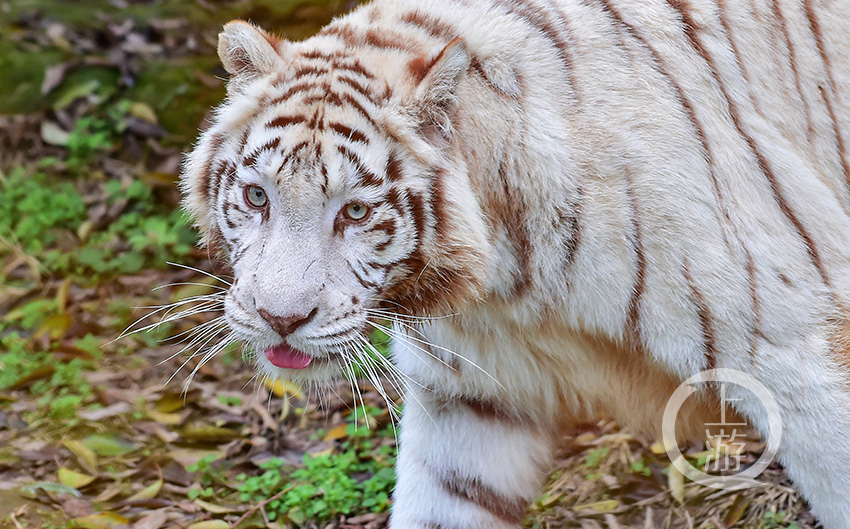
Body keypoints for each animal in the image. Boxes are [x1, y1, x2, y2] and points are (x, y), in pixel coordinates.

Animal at [182, 1, 848, 524]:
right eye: (258, 197)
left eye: (355, 211)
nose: (280, 318)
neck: (507, 281)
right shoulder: (470, 397)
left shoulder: (798, 353)